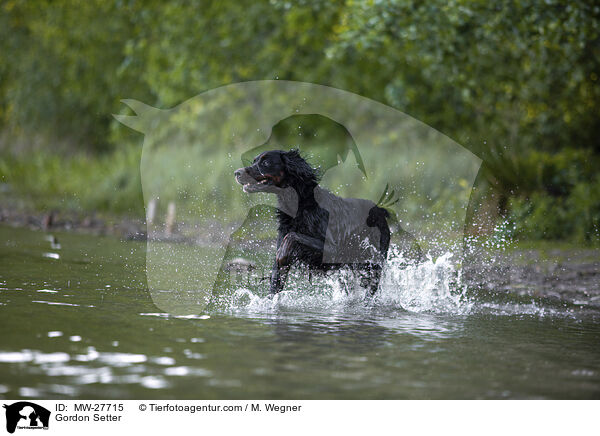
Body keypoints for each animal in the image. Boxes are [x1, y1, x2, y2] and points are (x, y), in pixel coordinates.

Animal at [234, 148, 394, 294]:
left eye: (266, 163)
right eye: (254, 161)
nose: (237, 173)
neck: (301, 206)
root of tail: (379, 209)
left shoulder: (333, 250)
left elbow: (294, 236)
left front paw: (283, 253)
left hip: (372, 264)